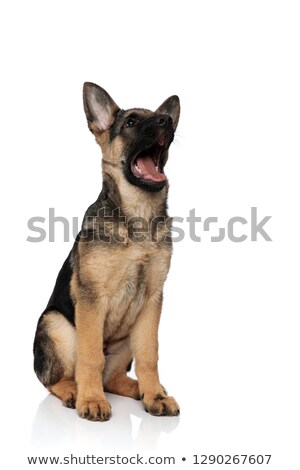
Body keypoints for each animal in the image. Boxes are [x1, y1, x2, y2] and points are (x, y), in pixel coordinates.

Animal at [34, 82, 180, 420]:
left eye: (163, 118)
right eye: (131, 122)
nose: (167, 121)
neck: (137, 219)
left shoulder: (152, 300)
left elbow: (150, 354)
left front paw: (154, 394)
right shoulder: (91, 297)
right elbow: (90, 357)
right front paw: (91, 400)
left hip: (128, 334)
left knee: (112, 376)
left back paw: (139, 390)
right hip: (57, 324)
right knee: (55, 378)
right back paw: (74, 391)